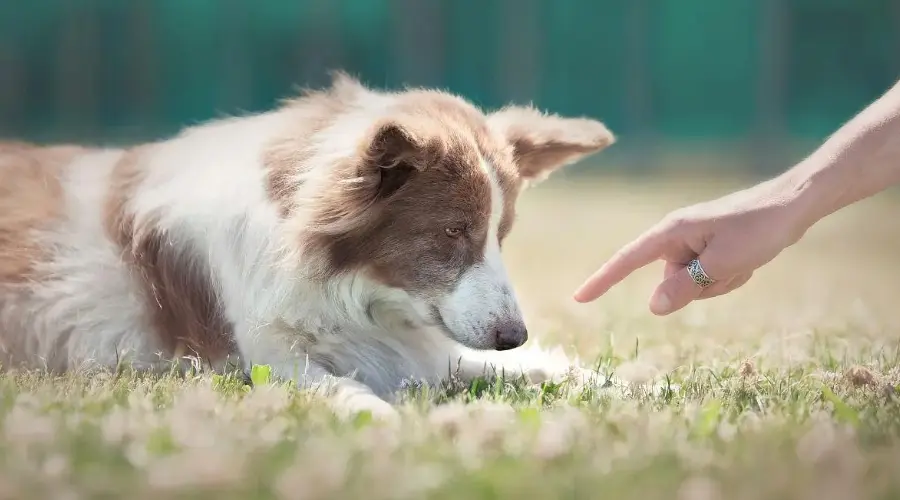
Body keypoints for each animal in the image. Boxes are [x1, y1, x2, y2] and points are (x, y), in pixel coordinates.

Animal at [0, 74, 616, 418]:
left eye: (500, 235)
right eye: (451, 232)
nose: (514, 335)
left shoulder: (411, 344)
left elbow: (535, 368)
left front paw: (618, 385)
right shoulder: (266, 361)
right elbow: (347, 391)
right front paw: (388, 425)